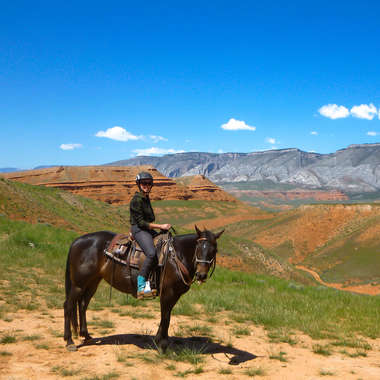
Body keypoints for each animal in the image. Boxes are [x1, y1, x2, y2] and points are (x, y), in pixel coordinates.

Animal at [62, 224, 223, 352]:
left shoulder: (175, 295)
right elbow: (166, 317)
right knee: (69, 306)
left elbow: (167, 315)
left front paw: (159, 340)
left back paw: (86, 335)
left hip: (93, 282)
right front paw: (162, 344)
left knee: (83, 304)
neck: (176, 256)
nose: (201, 275)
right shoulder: (168, 293)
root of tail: (77, 241)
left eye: (214, 250)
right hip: (78, 284)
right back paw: (69, 341)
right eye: (198, 248)